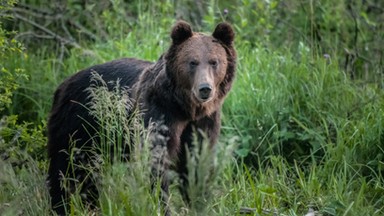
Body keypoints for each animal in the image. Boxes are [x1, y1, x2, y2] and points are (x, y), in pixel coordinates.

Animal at [48, 20, 237, 214]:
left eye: (214, 62)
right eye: (193, 62)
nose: (205, 89)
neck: (185, 108)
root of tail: (63, 85)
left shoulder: (204, 121)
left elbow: (197, 159)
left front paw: (199, 201)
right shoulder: (158, 114)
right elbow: (154, 159)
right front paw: (162, 205)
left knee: (90, 175)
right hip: (79, 125)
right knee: (64, 168)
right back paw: (60, 206)